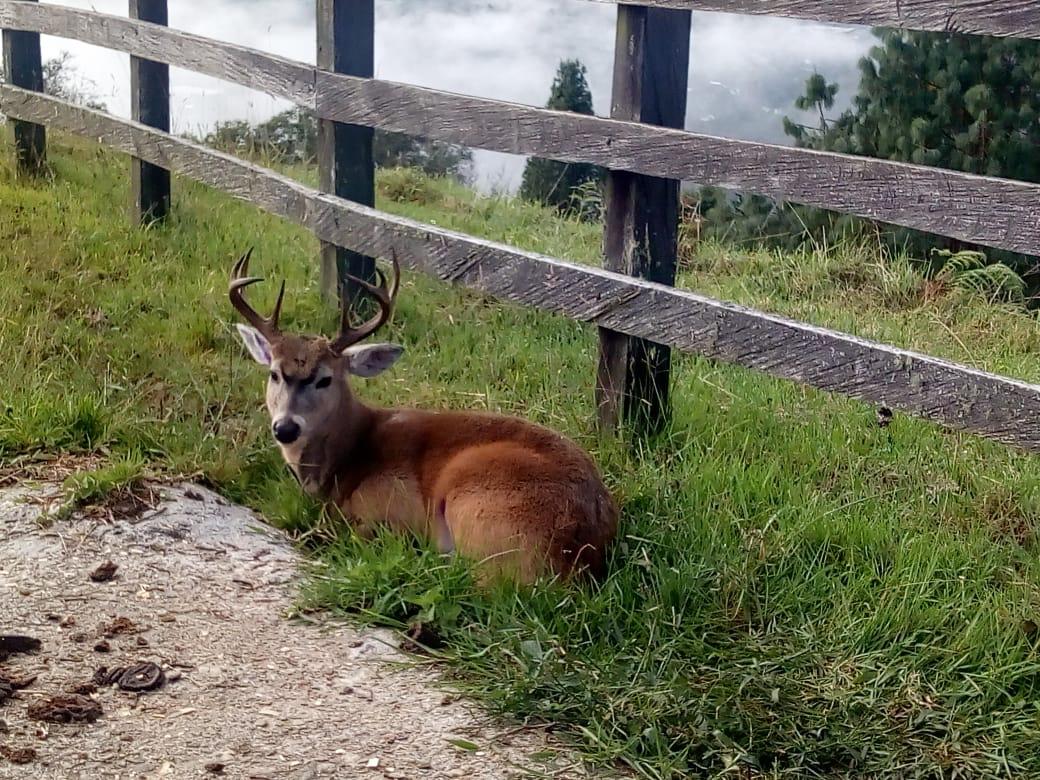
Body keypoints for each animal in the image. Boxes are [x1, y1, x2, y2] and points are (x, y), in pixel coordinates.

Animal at [227, 247, 615, 582]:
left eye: (325, 379)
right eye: (274, 373)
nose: (285, 428)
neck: (347, 456)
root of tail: (581, 550)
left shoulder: (392, 507)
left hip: (477, 502)